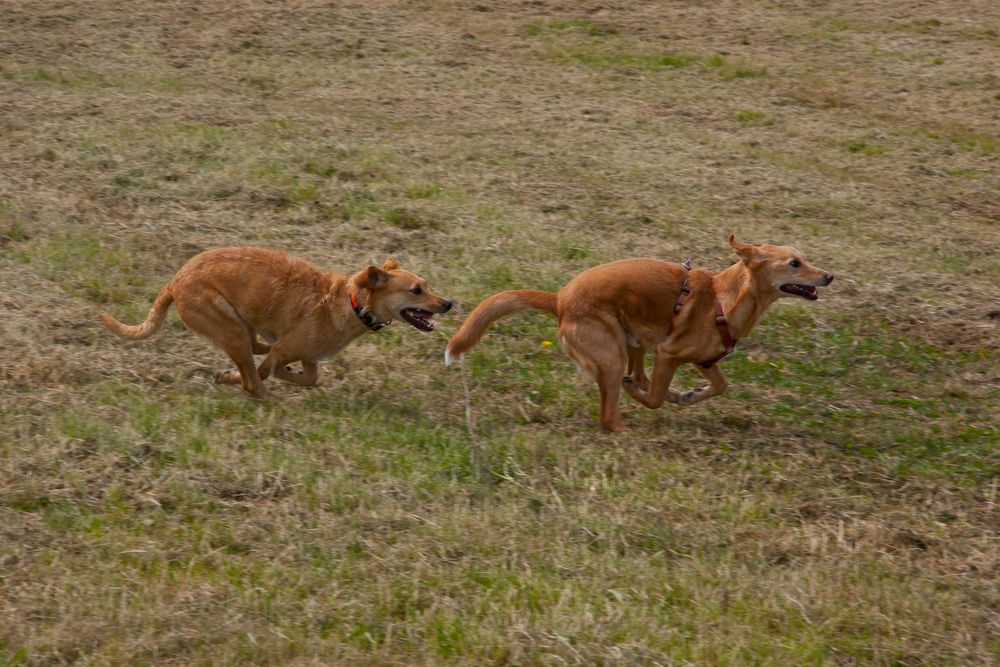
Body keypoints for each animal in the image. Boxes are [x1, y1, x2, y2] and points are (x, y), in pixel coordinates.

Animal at [99, 248, 452, 400]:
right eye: (416, 290)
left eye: (426, 284)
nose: (448, 303)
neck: (352, 302)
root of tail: (174, 282)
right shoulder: (288, 349)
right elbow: (266, 370)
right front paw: (245, 376)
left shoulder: (307, 357)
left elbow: (308, 377)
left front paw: (286, 374)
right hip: (231, 329)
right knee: (252, 381)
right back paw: (265, 394)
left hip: (240, 326)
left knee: (256, 351)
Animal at [450, 237, 832, 430]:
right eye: (794, 263)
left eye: (803, 259)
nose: (829, 276)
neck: (725, 298)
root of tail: (559, 299)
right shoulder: (668, 355)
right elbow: (654, 398)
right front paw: (654, 395)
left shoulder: (705, 360)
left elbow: (721, 385)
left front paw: (688, 395)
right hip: (612, 354)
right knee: (611, 410)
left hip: (632, 340)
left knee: (637, 376)